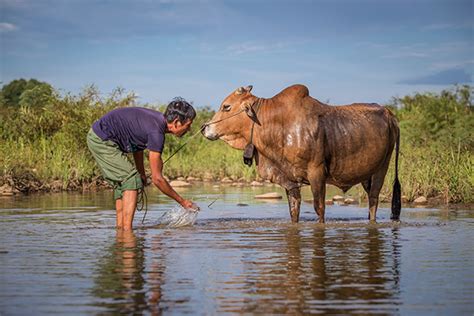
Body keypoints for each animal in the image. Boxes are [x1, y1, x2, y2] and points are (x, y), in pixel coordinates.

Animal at [201, 84, 400, 222]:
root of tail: (390, 114)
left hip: (382, 168)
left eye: (226, 107)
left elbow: (319, 209)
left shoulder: (317, 173)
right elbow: (294, 210)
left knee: (373, 202)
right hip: (368, 175)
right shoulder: (289, 181)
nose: (204, 128)